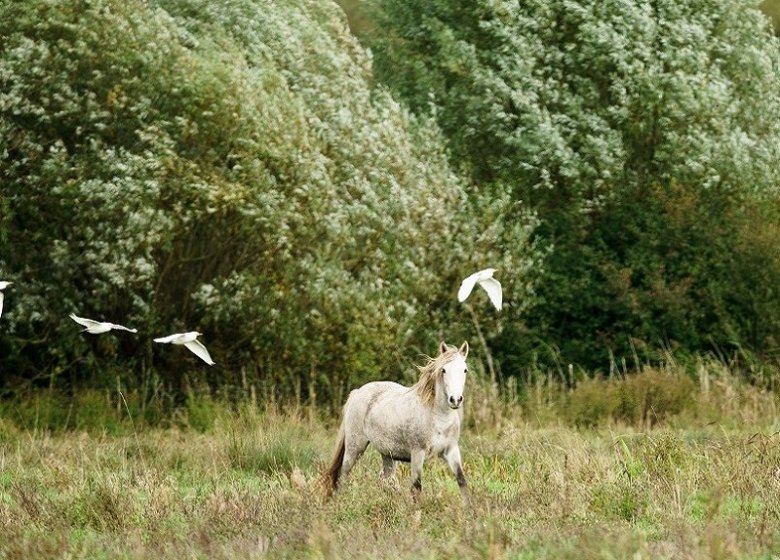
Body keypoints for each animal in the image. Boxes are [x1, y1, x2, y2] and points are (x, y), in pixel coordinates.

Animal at [324, 342, 470, 504]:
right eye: (443, 370)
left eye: (465, 369)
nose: (455, 400)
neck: (439, 418)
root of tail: (357, 392)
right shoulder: (417, 453)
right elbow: (416, 487)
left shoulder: (451, 451)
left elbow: (462, 481)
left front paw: (471, 510)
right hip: (355, 448)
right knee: (342, 476)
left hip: (387, 454)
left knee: (386, 480)